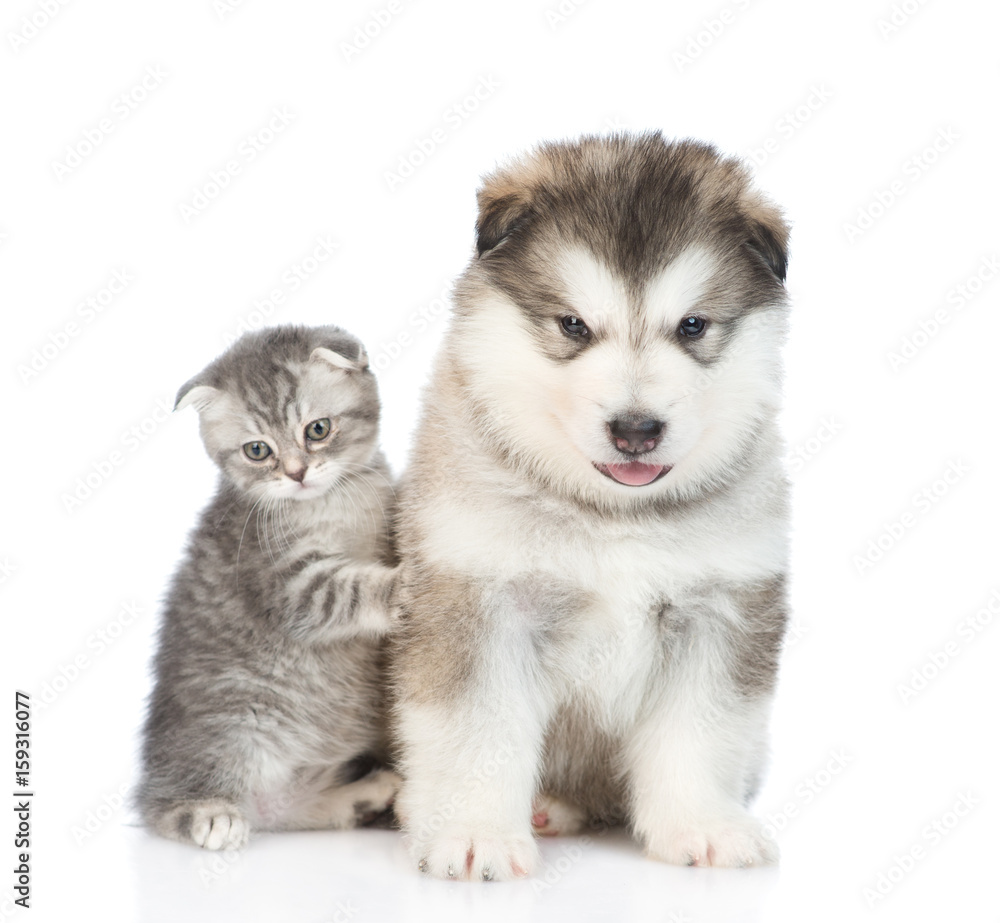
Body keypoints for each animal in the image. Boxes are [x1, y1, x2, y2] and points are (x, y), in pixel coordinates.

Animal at [138, 324, 402, 852]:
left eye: (317, 430)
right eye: (257, 450)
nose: (297, 473)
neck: (333, 503)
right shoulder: (286, 583)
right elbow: (349, 590)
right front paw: (405, 584)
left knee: (289, 810)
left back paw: (367, 794)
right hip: (233, 725)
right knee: (167, 808)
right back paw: (209, 813)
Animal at [390, 132, 788, 880]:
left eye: (693, 325)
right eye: (572, 324)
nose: (636, 429)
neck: (612, 515)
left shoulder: (719, 610)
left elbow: (700, 729)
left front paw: (702, 824)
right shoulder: (478, 604)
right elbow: (478, 731)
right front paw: (477, 833)